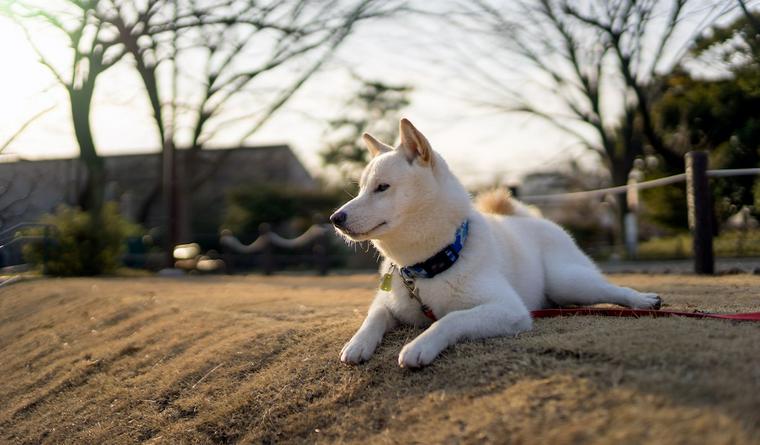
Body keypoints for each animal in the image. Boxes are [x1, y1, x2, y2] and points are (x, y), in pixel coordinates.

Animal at [330, 119, 664, 368]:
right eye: (360, 189)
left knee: (610, 289)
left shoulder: (508, 308)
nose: (336, 218)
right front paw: (357, 344)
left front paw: (420, 345)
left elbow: (451, 319)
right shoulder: (389, 303)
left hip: (568, 282)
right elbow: (373, 317)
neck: (428, 266)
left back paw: (643, 300)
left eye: (382, 187)